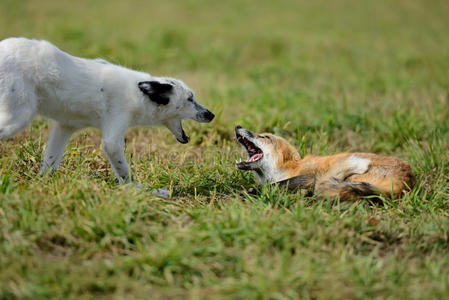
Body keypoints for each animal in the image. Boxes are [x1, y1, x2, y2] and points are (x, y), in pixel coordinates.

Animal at [0, 37, 214, 191]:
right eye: (190, 99)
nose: (211, 115)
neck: (138, 93)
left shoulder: (65, 127)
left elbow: (50, 161)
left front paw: (42, 184)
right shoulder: (113, 137)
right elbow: (125, 174)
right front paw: (141, 191)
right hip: (18, 117)